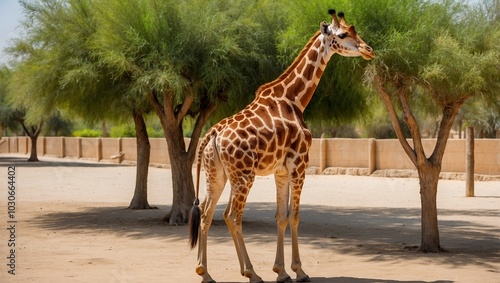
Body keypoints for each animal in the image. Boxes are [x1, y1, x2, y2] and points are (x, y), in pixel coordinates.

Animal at [189, 8, 374, 283]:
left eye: (355, 31)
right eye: (342, 34)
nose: (369, 50)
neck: (295, 99)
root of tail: (213, 134)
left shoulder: (281, 170)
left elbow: (281, 217)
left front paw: (281, 271)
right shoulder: (300, 164)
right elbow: (294, 217)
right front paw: (299, 271)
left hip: (218, 174)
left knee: (206, 212)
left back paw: (205, 272)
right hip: (244, 175)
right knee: (232, 215)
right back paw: (251, 273)